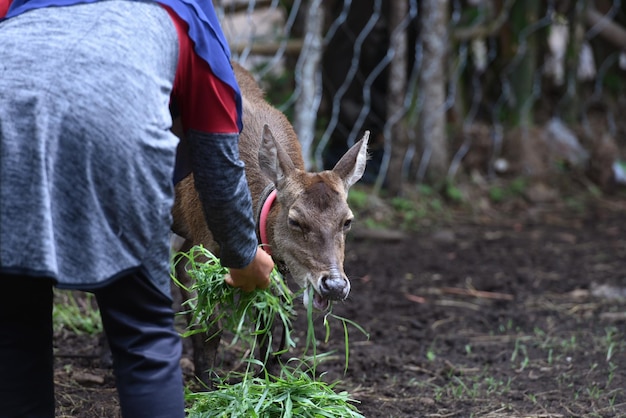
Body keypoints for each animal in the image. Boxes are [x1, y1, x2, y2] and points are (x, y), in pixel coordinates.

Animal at [168, 62, 368, 386]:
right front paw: (208, 384)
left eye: (347, 221)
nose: (335, 285)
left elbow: (274, 319)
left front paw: (270, 378)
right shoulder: (203, 242)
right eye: (295, 220)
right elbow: (213, 324)